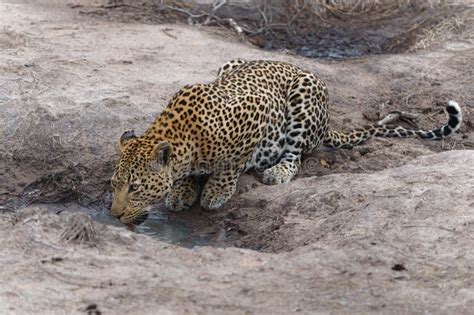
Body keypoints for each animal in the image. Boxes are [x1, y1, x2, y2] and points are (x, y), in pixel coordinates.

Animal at [108, 59, 462, 226]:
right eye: (114, 184)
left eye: (135, 188)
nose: (112, 215)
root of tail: (327, 120)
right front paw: (183, 190)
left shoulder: (258, 113)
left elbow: (230, 164)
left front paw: (215, 192)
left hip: (302, 100)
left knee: (295, 155)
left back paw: (277, 172)